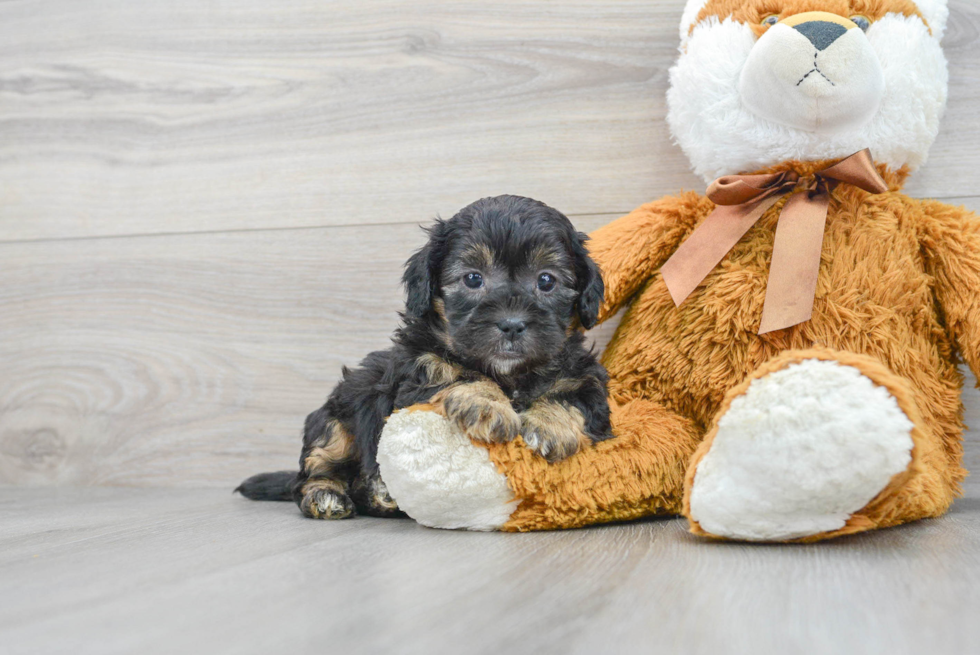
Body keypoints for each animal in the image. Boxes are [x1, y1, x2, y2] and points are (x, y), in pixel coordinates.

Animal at [234, 192, 608, 520]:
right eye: (473, 278)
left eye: (546, 281)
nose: (512, 324)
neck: (509, 374)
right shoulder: (418, 374)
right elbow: (459, 373)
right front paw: (487, 404)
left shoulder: (585, 379)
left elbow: (573, 397)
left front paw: (548, 426)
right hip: (333, 424)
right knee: (313, 473)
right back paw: (328, 496)